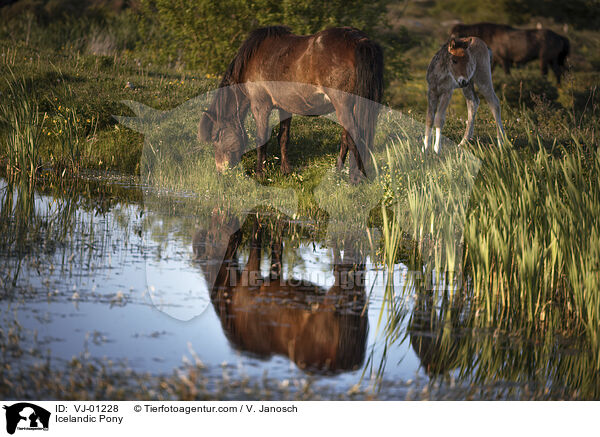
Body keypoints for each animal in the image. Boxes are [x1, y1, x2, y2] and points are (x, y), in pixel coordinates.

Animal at [199, 25, 382, 182]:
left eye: (215, 137)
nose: (220, 172)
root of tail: (359, 40)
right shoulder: (285, 108)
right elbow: (283, 137)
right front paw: (285, 170)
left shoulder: (260, 106)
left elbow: (262, 138)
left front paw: (260, 174)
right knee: (347, 138)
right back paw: (338, 171)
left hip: (342, 107)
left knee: (355, 137)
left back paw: (355, 178)